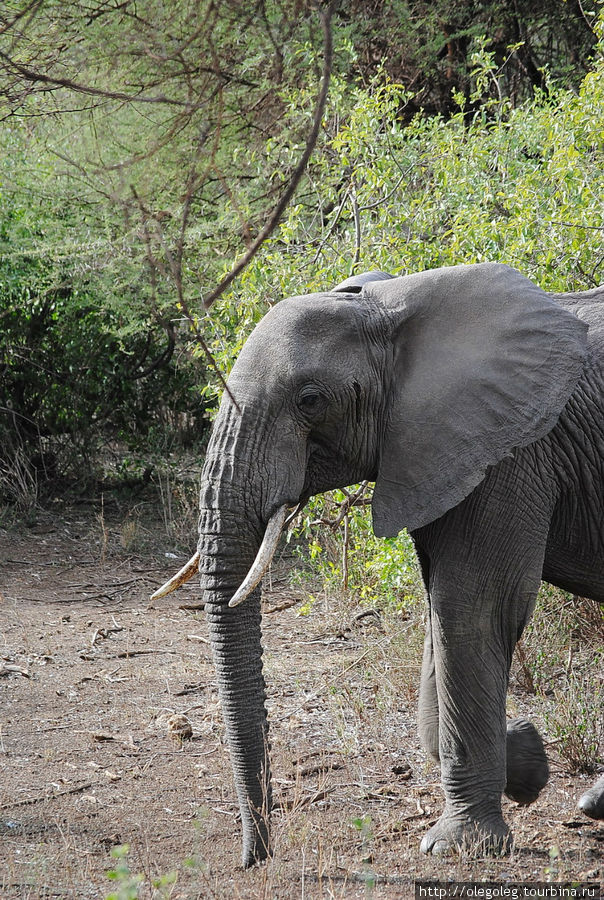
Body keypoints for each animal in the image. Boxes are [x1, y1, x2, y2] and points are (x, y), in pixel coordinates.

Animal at [152, 260, 604, 864]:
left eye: (310, 400)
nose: (255, 858)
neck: (389, 309)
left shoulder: (510, 453)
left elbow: (472, 611)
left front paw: (457, 846)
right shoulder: (434, 452)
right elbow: (442, 615)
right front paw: (529, 764)